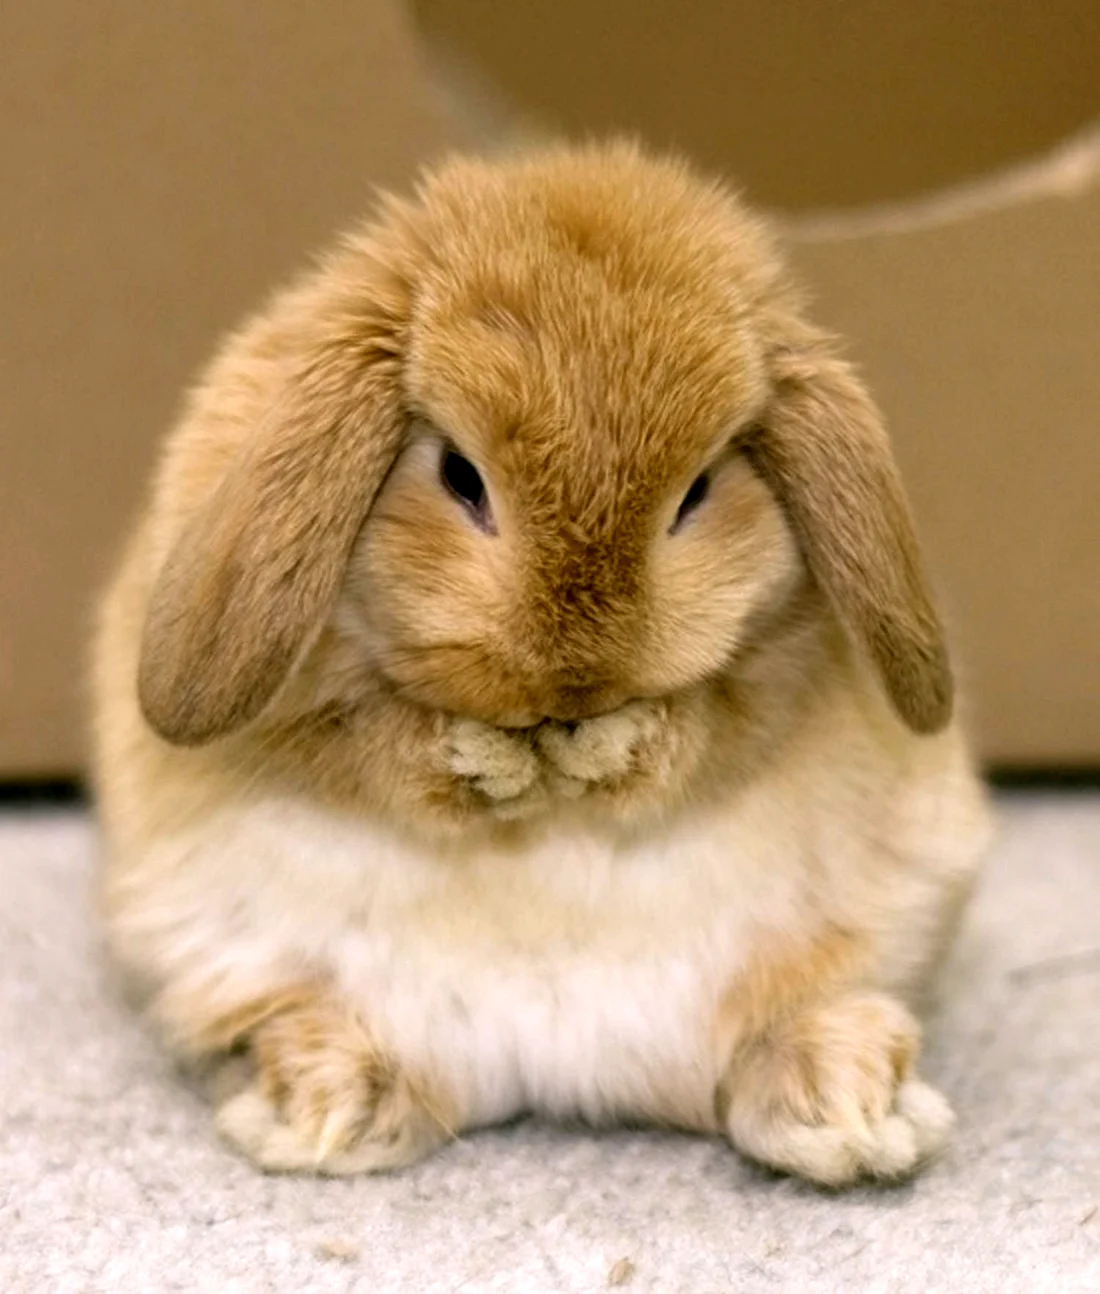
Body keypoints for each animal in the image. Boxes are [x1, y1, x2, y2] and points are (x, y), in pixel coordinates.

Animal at [91, 140, 992, 1187]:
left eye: (698, 490)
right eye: (459, 476)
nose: (576, 678)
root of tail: (557, 1076)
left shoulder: (774, 673)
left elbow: (716, 719)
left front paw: (601, 750)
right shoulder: (313, 718)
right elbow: (370, 739)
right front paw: (496, 762)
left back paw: (846, 1114)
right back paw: (326, 1113)